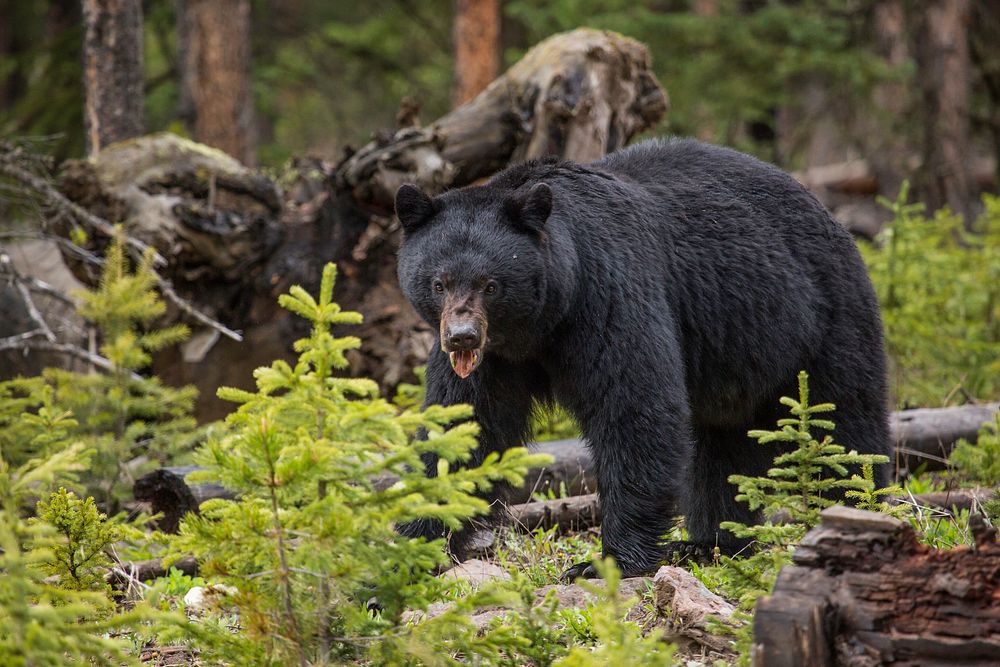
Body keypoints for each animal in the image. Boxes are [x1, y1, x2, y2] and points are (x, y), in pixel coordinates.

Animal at [394, 137, 888, 580]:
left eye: (491, 284)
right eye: (439, 282)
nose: (461, 338)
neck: (541, 322)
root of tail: (827, 210)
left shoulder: (608, 293)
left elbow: (634, 407)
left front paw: (607, 561)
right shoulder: (495, 359)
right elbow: (463, 427)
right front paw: (411, 547)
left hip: (820, 321)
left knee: (844, 421)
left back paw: (857, 510)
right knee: (721, 446)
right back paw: (710, 542)